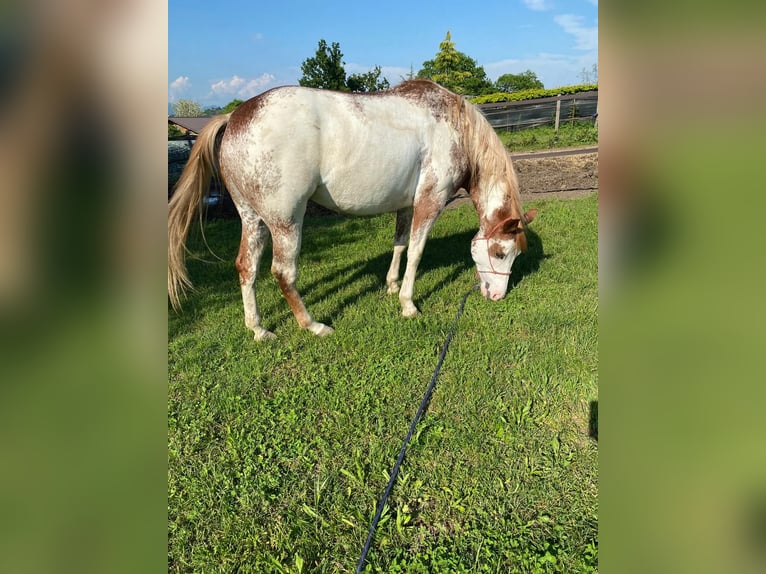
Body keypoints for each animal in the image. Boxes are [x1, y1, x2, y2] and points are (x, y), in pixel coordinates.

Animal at [170, 81, 536, 342]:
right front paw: (408, 304)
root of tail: (235, 116)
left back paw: (258, 329)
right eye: (500, 252)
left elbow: (399, 244)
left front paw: (390, 285)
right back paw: (312, 325)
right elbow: (416, 252)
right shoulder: (430, 201)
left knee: (246, 267)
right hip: (286, 221)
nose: (497, 295)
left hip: (252, 218)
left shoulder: (406, 205)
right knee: (283, 272)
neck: (454, 126)